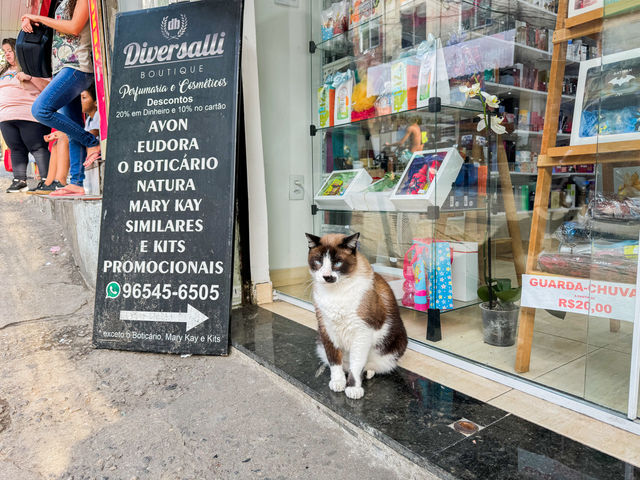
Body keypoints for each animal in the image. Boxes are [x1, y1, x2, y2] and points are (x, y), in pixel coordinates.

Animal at [304, 231, 404, 400]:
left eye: (338, 263)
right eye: (318, 262)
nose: (326, 276)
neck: (336, 293)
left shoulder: (362, 332)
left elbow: (356, 364)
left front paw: (353, 388)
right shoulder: (326, 329)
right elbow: (334, 361)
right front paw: (338, 382)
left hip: (393, 347)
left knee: (369, 365)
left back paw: (368, 372)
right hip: (319, 342)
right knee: (342, 364)